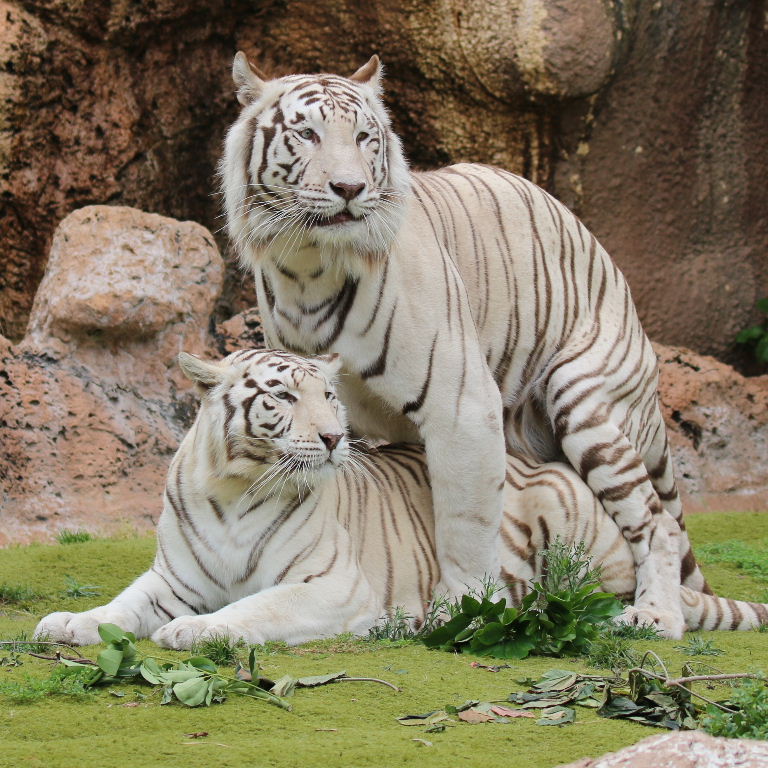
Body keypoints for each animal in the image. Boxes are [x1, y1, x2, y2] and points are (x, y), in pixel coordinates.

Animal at [34, 350, 768, 648]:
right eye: (281, 396)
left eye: (328, 396)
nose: (335, 437)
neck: (237, 487)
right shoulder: (173, 577)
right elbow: (119, 607)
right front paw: (66, 623)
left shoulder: (331, 585)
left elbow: (255, 608)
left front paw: (197, 630)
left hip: (577, 527)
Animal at [218, 54, 708, 640]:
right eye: (308, 133)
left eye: (363, 138)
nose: (349, 187)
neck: (310, 266)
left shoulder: (462, 405)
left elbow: (467, 521)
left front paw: (467, 608)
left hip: (586, 399)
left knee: (655, 520)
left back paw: (656, 615)